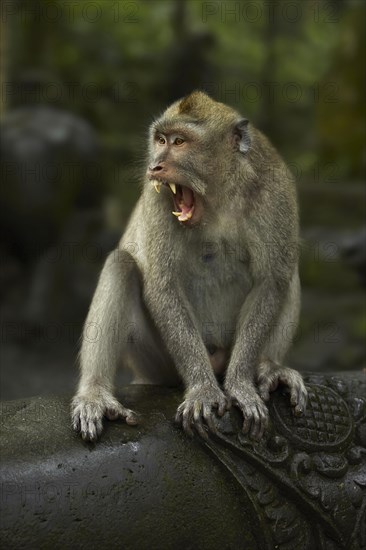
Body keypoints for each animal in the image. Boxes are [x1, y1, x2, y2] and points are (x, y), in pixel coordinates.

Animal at [71, 90, 306, 444]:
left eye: (180, 141)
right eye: (160, 140)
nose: (155, 165)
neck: (220, 195)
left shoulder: (275, 189)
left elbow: (270, 282)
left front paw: (240, 384)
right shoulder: (157, 199)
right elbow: (163, 285)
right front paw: (203, 390)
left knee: (286, 274)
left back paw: (269, 366)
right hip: (156, 364)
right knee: (121, 264)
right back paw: (94, 394)